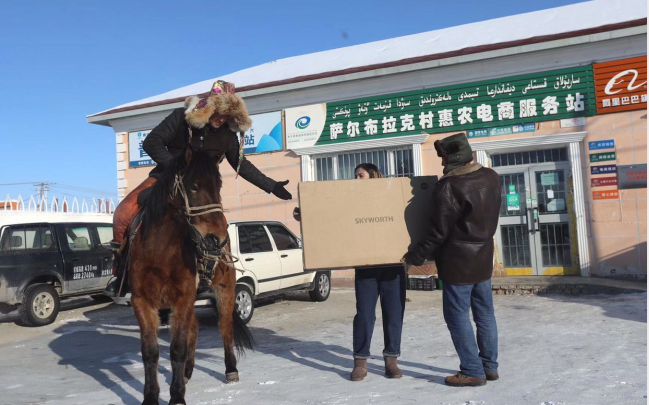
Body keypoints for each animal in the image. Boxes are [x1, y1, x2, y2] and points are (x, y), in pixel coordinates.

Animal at [125, 147, 252, 404]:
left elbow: (177, 348)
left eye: (219, 186)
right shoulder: (142, 301)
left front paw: (176, 397)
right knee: (194, 327)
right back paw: (186, 372)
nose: (217, 237)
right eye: (194, 186)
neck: (160, 250)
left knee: (224, 328)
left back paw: (230, 369)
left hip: (225, 289)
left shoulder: (182, 298)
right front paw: (151, 396)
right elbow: (150, 351)